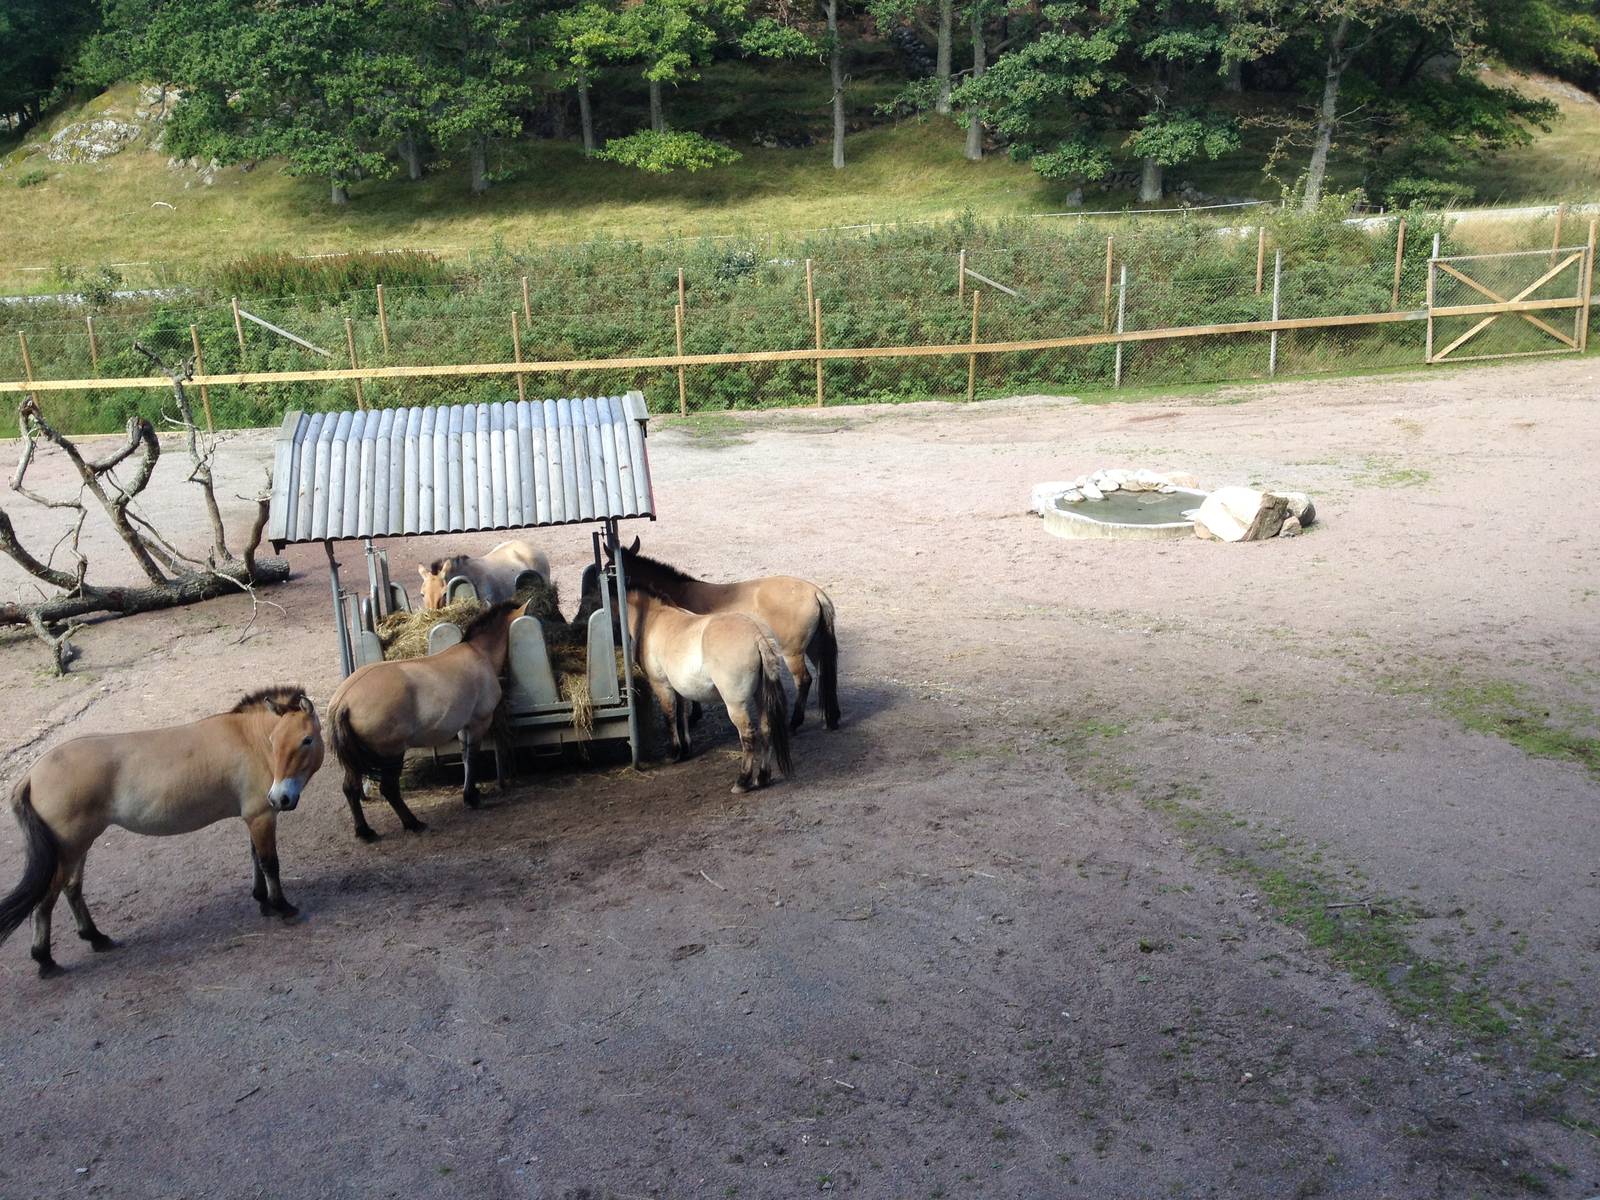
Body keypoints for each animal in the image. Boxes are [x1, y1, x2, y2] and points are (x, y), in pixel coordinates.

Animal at [0, 686, 325, 978]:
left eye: (306, 740)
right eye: (274, 741)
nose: (280, 798)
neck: (248, 740)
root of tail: (32, 773)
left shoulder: (254, 817)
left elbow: (255, 858)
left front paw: (263, 901)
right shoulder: (261, 816)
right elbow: (269, 863)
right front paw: (282, 907)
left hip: (79, 846)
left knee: (72, 889)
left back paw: (96, 938)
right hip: (69, 849)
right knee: (46, 901)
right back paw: (45, 960)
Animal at [328, 600, 520, 841]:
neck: (478, 652)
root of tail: (344, 700)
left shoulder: (464, 726)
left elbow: (466, 758)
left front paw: (470, 794)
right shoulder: (479, 722)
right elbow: (472, 757)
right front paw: (471, 797)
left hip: (355, 760)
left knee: (350, 789)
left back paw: (365, 831)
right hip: (391, 752)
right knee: (389, 789)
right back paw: (413, 823)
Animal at [586, 538, 839, 731]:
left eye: (609, 567)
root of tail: (815, 593)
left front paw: (693, 716)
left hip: (792, 652)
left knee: (804, 680)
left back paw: (795, 722)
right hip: (813, 647)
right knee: (825, 672)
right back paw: (832, 717)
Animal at [623, 584, 793, 794]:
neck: (654, 618)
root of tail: (757, 635)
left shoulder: (661, 685)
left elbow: (669, 717)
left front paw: (673, 754)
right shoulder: (679, 689)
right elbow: (681, 716)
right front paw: (685, 750)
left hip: (735, 704)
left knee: (748, 736)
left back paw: (742, 781)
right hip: (760, 696)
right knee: (766, 729)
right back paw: (762, 777)